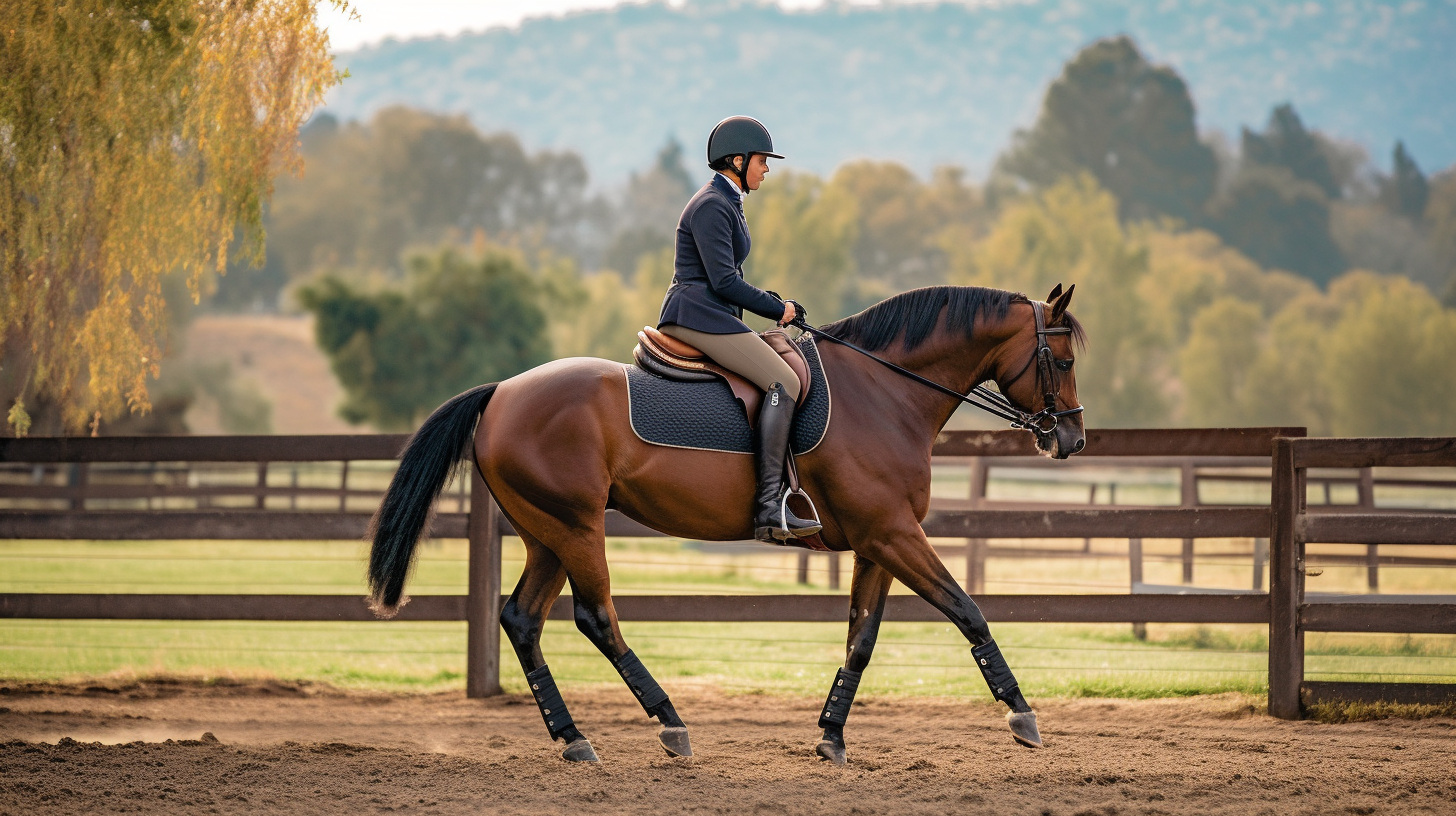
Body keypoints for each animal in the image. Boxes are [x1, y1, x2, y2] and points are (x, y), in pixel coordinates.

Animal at [369, 284, 1089, 763]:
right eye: (1065, 360)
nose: (1073, 440)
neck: (885, 392)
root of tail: (501, 393)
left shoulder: (875, 542)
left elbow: (861, 638)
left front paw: (831, 735)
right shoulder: (893, 534)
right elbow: (967, 609)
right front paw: (1023, 715)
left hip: (548, 532)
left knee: (522, 620)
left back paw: (574, 739)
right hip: (575, 528)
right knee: (596, 617)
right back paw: (669, 723)